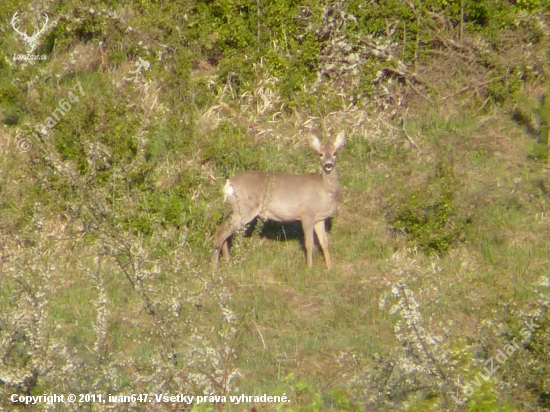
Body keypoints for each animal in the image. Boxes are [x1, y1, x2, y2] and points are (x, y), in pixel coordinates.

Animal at [213, 130, 348, 270]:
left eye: (335, 153)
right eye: (320, 154)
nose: (328, 165)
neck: (323, 190)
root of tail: (228, 184)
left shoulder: (320, 219)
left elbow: (324, 243)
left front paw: (329, 268)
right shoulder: (306, 214)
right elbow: (309, 244)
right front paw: (309, 268)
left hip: (236, 209)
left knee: (224, 231)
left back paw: (227, 262)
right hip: (244, 209)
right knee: (221, 231)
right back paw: (214, 268)